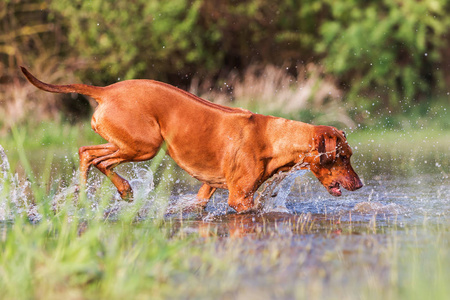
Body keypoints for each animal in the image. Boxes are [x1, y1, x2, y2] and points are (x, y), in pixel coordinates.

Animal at [22, 67, 362, 213]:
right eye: (342, 157)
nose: (359, 185)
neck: (275, 139)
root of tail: (105, 90)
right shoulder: (239, 198)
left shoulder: (207, 188)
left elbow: (198, 201)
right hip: (145, 146)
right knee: (99, 160)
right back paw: (111, 190)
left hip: (125, 141)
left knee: (86, 152)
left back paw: (108, 192)